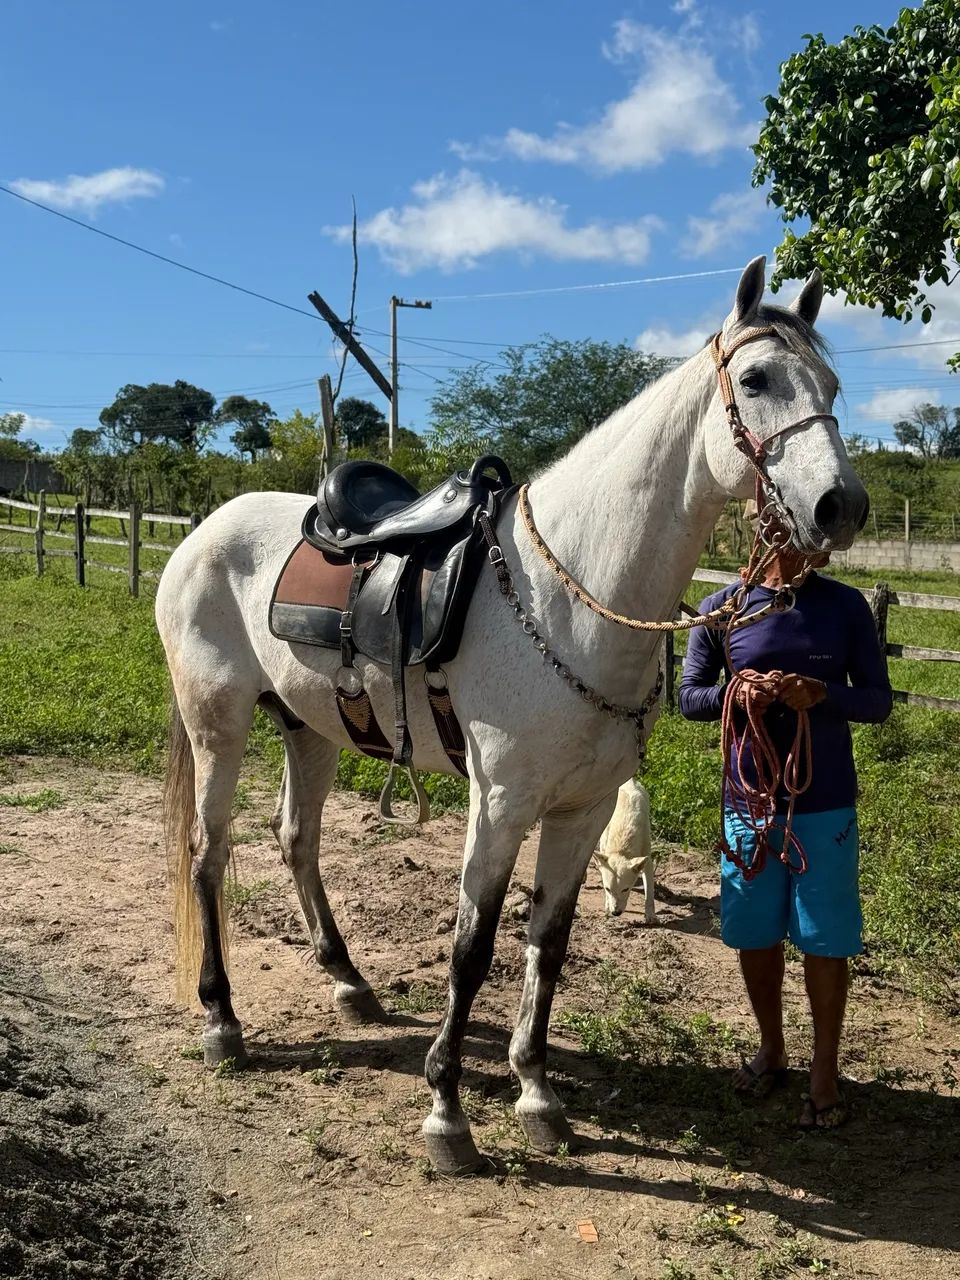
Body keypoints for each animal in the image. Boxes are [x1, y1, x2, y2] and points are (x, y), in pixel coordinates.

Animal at [157, 257, 867, 1175]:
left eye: (832, 385)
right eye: (756, 380)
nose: (840, 506)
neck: (570, 598)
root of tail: (204, 531)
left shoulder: (581, 810)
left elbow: (548, 942)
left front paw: (535, 1093)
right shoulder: (499, 806)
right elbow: (474, 945)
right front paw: (448, 1113)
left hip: (309, 729)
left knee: (296, 840)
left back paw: (349, 982)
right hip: (219, 723)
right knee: (208, 856)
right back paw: (222, 1019)